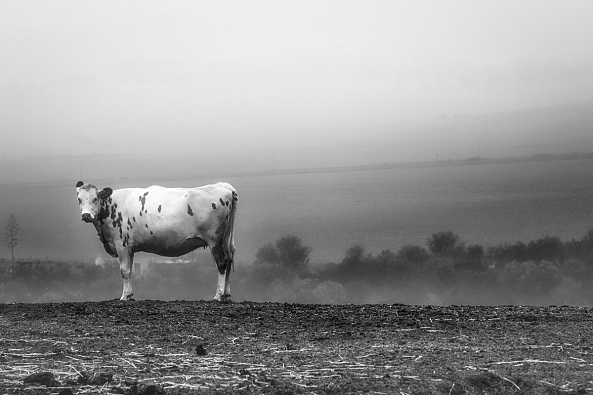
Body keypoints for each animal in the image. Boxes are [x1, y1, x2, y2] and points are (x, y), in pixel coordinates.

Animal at [75, 181, 237, 302]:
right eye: (79, 199)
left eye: (95, 199)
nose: (86, 215)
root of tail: (225, 187)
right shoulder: (130, 247)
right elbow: (130, 270)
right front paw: (130, 295)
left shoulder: (121, 243)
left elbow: (124, 271)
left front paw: (124, 296)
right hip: (227, 239)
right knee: (229, 259)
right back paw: (227, 295)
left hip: (214, 239)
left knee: (222, 262)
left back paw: (218, 295)